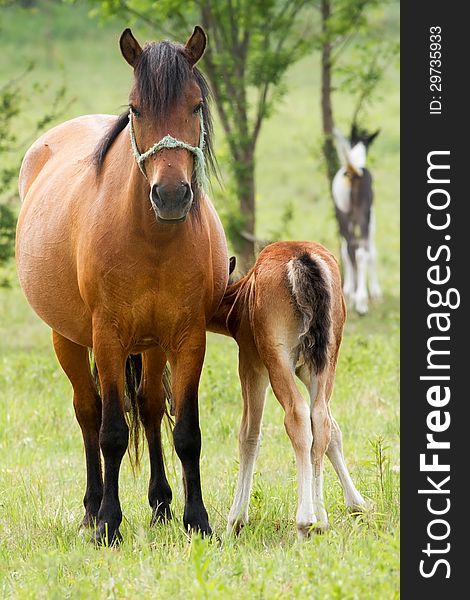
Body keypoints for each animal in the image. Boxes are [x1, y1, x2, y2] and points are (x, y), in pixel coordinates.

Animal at [207, 241, 366, 536]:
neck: (240, 300)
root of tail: (301, 256)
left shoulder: (251, 364)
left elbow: (249, 434)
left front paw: (235, 520)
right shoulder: (305, 369)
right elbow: (333, 430)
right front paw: (356, 505)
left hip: (277, 358)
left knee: (297, 416)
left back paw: (305, 521)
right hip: (327, 358)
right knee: (320, 418)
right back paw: (321, 520)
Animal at [330, 125, 382, 316]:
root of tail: (353, 172)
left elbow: (349, 251)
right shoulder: (371, 218)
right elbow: (372, 252)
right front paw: (375, 292)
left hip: (344, 215)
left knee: (353, 249)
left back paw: (356, 298)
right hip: (360, 215)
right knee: (359, 250)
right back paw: (359, 300)